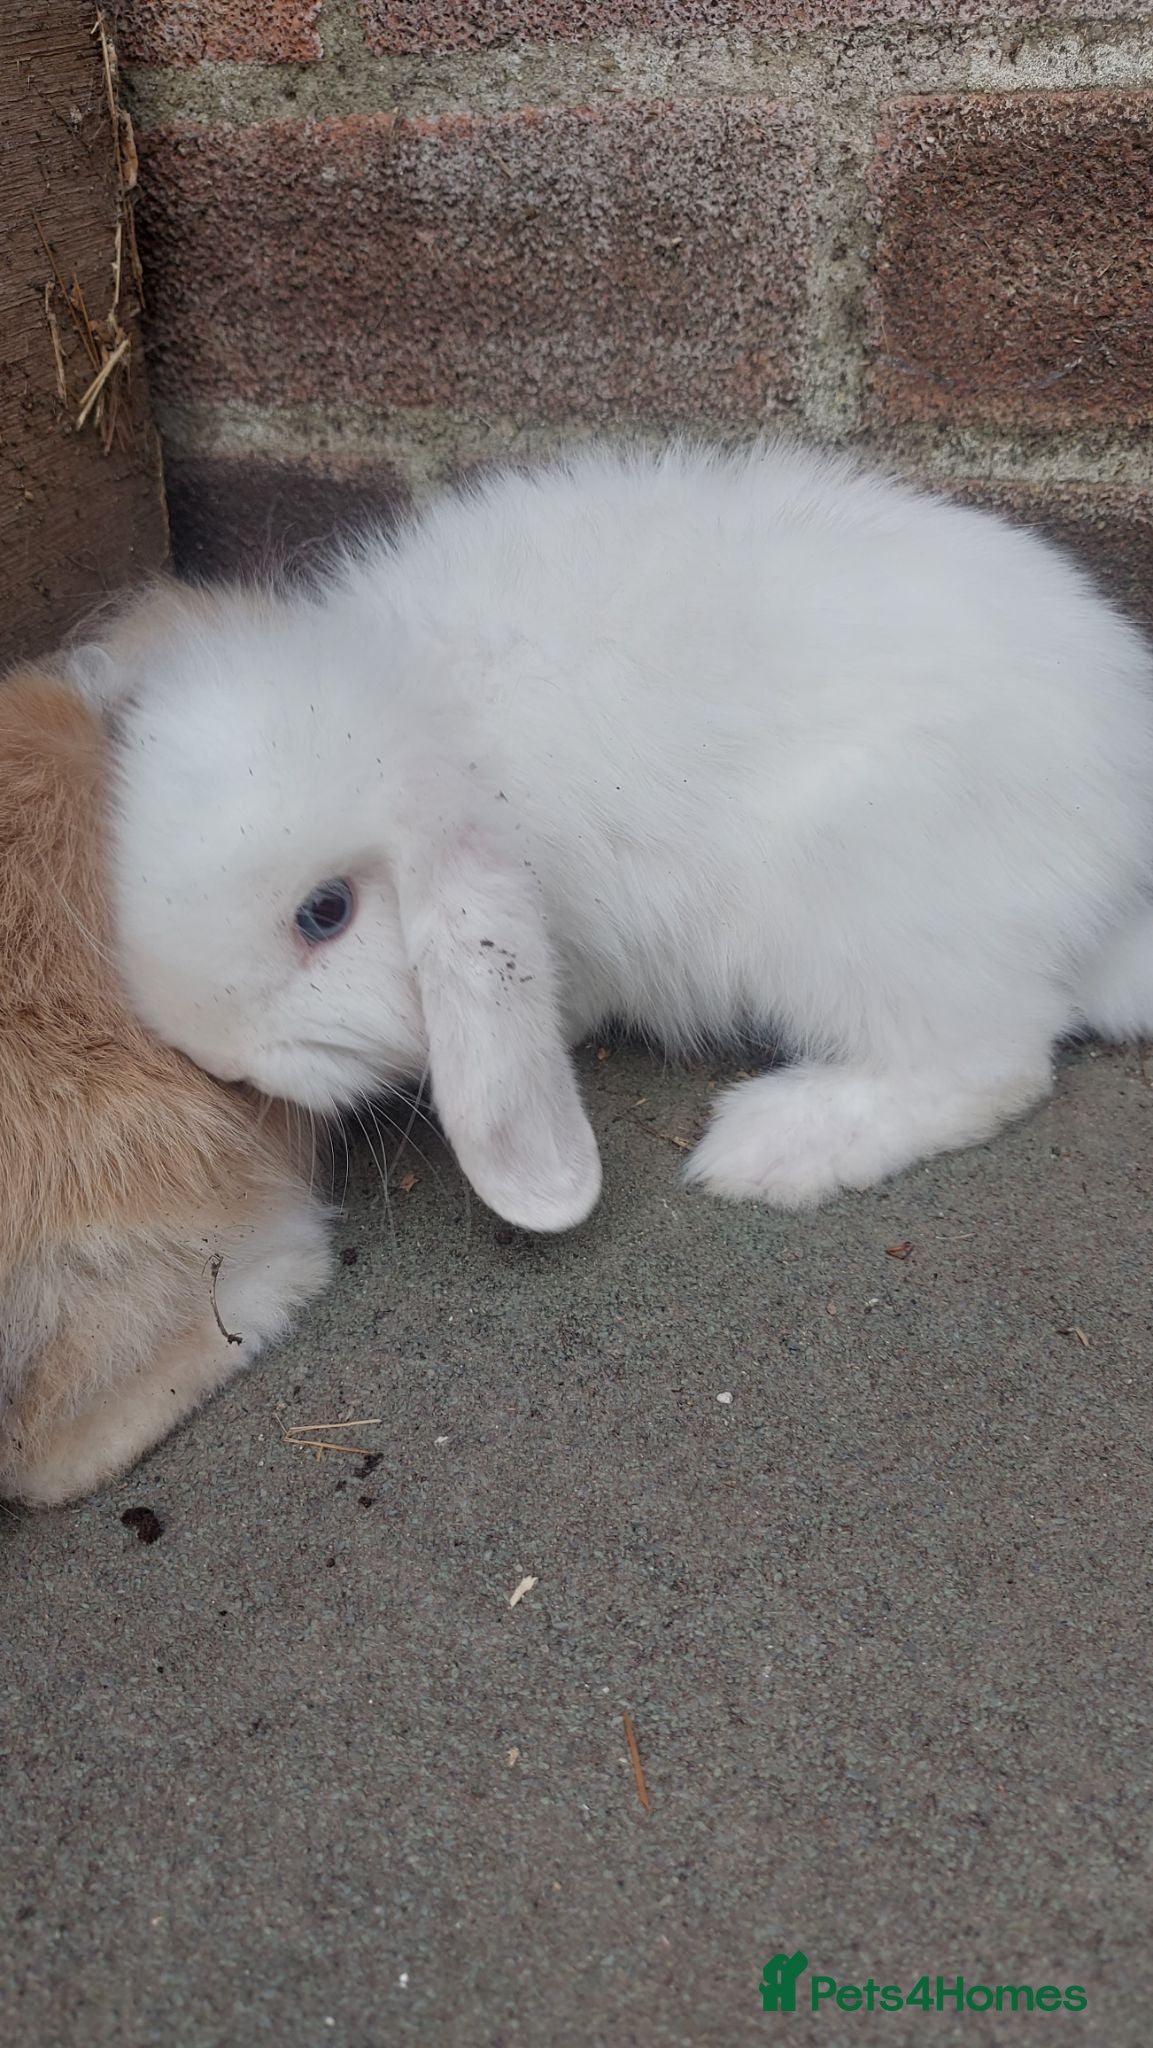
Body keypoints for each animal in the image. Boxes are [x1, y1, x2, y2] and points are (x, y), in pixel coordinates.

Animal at [71, 440, 1153, 1234]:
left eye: (324, 913)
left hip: (853, 913)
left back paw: (769, 1147)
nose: (219, 1059)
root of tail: (1117, 865)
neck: (428, 707)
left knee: (990, 1063)